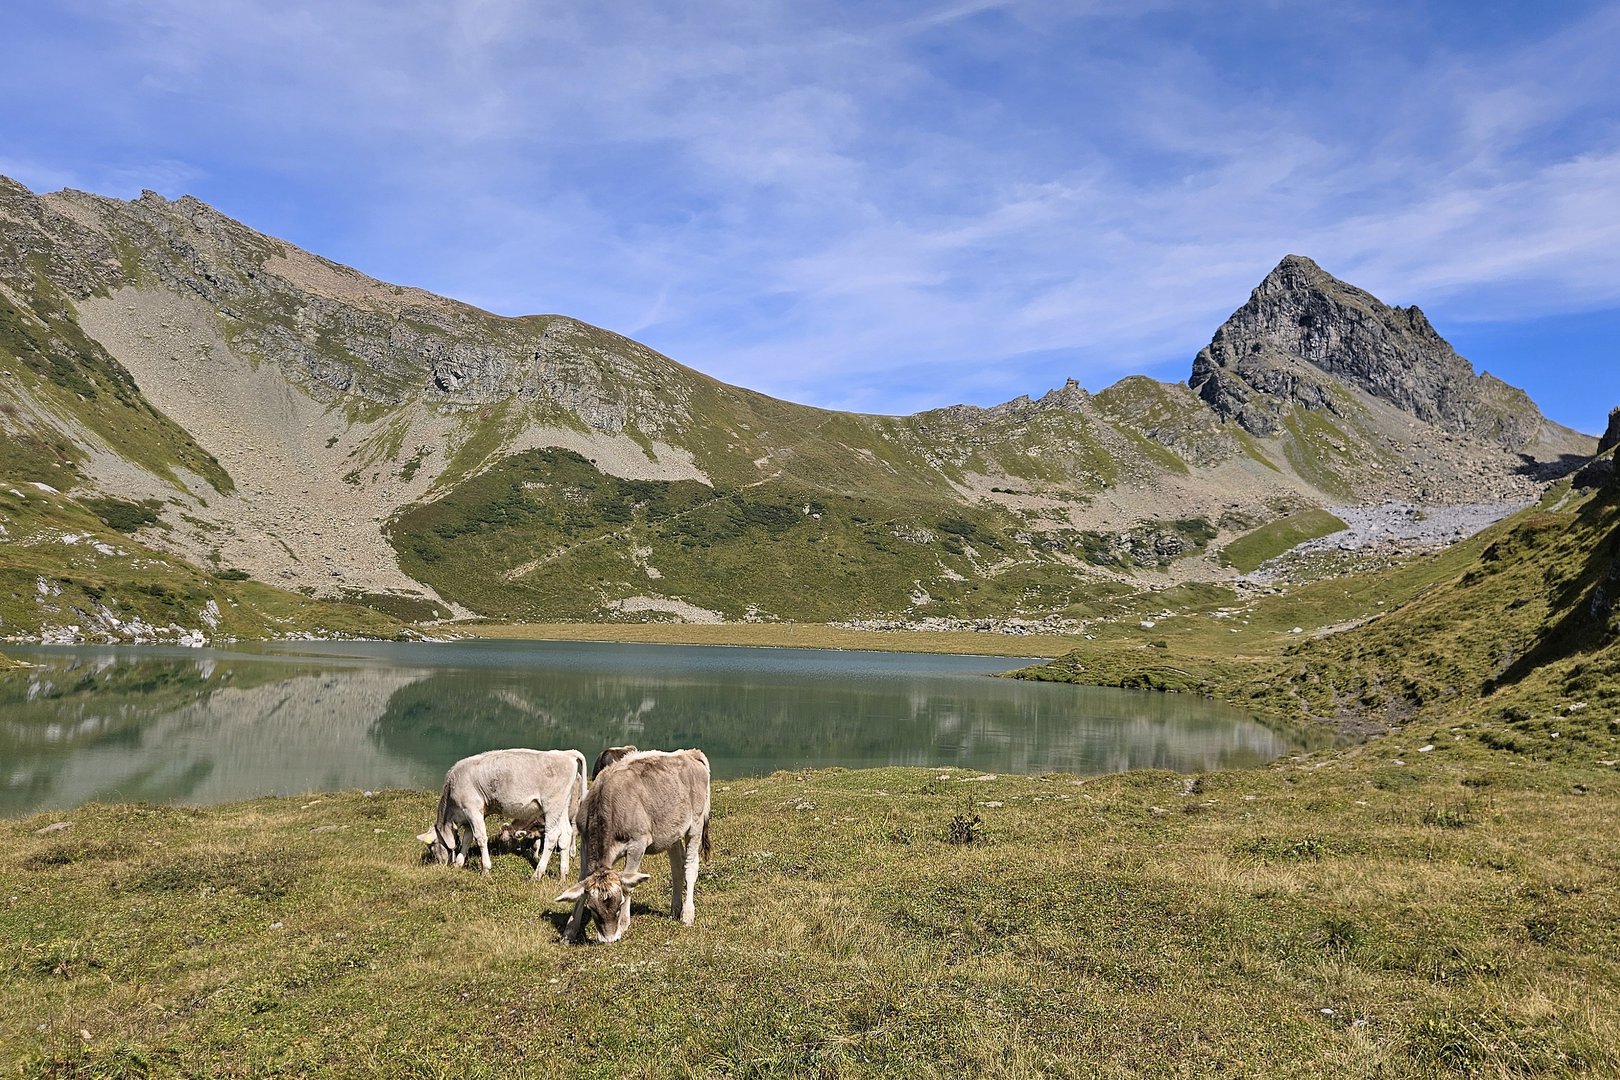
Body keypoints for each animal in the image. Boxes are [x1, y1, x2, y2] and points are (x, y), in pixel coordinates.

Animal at [416, 748, 587, 880]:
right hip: (562, 807)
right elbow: (467, 838)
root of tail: (566, 754)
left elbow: (480, 837)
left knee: (552, 836)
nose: (440, 865)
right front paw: (459, 863)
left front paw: (485, 870)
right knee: (565, 834)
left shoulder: (472, 809)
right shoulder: (472, 813)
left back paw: (537, 875)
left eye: (432, 847)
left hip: (552, 806)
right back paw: (563, 874)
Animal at [556, 748, 711, 944]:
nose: (609, 939)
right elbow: (581, 881)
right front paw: (570, 930)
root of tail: (689, 753)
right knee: (677, 866)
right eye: (592, 908)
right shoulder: (584, 842)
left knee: (690, 866)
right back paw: (675, 910)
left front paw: (623, 924)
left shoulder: (638, 843)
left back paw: (687, 914)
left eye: (620, 903)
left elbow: (628, 884)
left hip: (696, 823)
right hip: (671, 831)